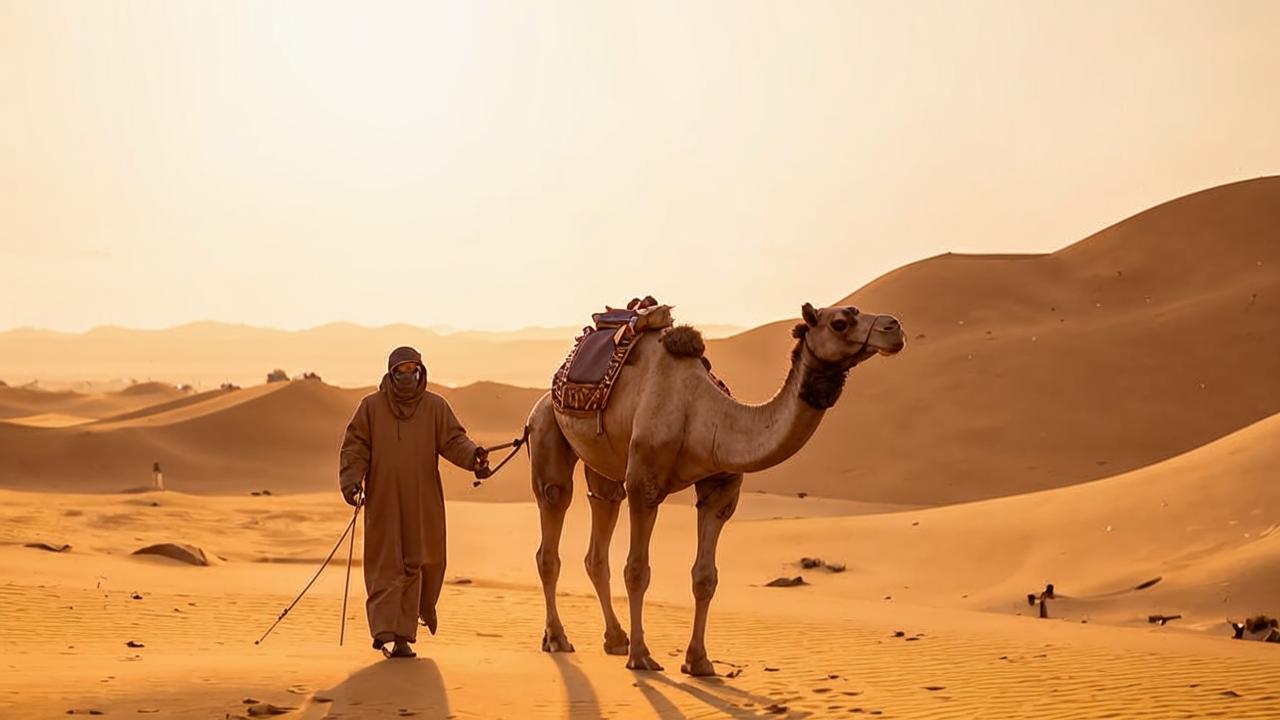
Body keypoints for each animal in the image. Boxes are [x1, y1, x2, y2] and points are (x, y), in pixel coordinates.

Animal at [524, 299, 906, 671]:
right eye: (839, 322)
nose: (894, 327)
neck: (703, 415)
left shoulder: (720, 488)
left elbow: (705, 578)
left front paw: (699, 661)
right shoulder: (644, 482)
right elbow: (637, 571)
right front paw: (642, 656)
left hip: (604, 466)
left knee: (599, 530)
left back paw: (615, 640)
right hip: (546, 426)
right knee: (552, 519)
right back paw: (558, 638)